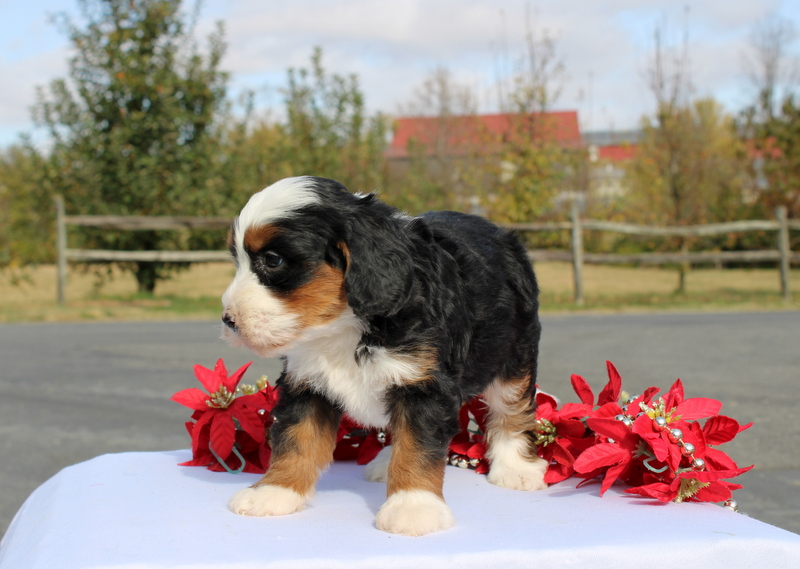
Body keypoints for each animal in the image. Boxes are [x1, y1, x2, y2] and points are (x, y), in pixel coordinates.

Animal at [219, 175, 548, 536]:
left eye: (273, 260)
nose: (228, 320)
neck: (346, 324)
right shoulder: (306, 381)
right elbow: (296, 438)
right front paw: (274, 491)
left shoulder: (423, 384)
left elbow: (417, 446)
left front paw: (413, 506)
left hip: (514, 353)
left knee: (511, 408)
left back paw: (516, 468)